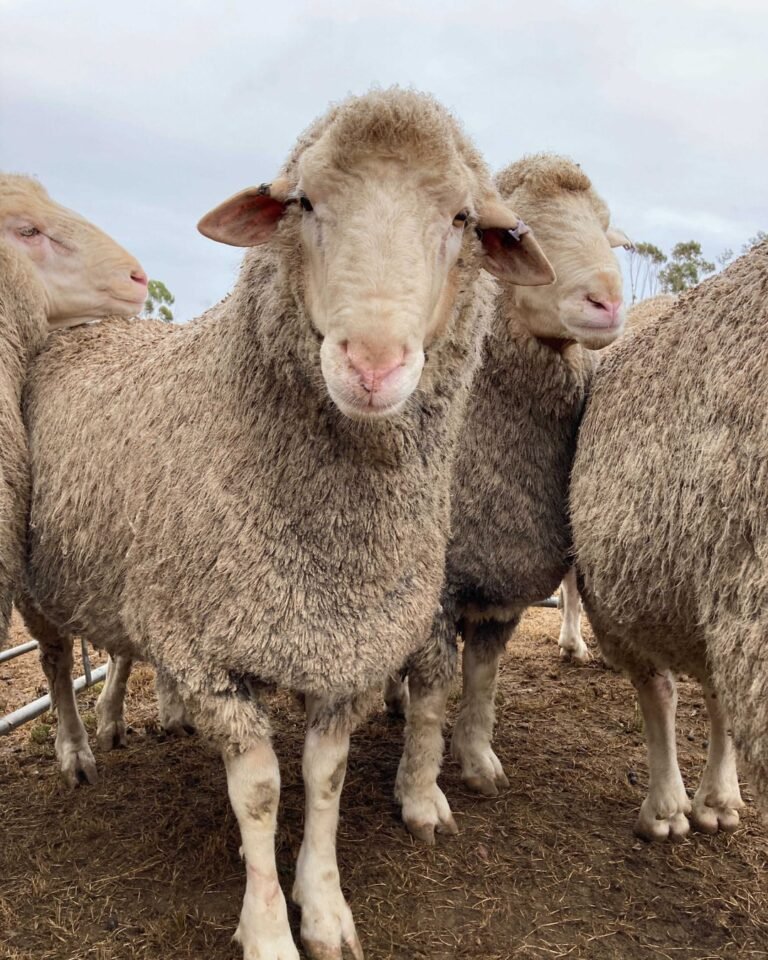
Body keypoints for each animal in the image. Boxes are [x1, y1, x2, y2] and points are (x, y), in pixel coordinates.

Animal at [20, 89, 555, 960]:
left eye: (462, 219)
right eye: (303, 202)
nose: (371, 364)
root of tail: (84, 329)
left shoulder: (349, 648)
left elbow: (324, 778)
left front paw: (325, 907)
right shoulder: (214, 655)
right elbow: (264, 794)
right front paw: (269, 925)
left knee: (121, 652)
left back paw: (130, 717)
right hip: (42, 586)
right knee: (59, 661)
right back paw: (74, 748)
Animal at [395, 154, 628, 843]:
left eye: (604, 225)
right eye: (521, 231)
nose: (608, 301)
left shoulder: (501, 586)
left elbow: (483, 678)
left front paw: (477, 760)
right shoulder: (437, 588)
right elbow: (435, 691)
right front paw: (421, 798)